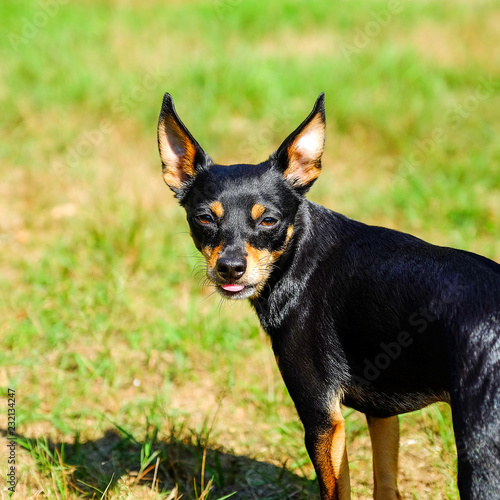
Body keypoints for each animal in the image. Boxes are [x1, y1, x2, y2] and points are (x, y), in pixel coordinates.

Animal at [157, 94, 500, 500]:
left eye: (269, 221)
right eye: (204, 219)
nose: (230, 267)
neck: (297, 257)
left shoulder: (322, 419)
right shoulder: (381, 413)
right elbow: (385, 484)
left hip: (480, 451)